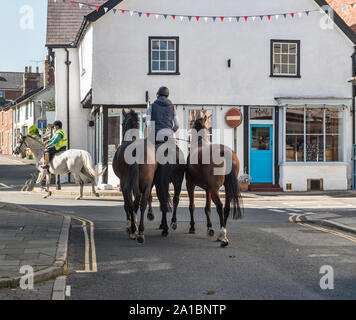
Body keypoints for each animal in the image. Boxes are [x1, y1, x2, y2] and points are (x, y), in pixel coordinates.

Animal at [111, 110, 156, 242]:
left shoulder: (123, 183)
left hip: (126, 182)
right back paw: (140, 231)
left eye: (122, 123)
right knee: (142, 202)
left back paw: (132, 229)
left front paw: (131, 226)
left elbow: (127, 204)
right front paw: (135, 226)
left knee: (130, 204)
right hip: (146, 181)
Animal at [186, 116, 242, 246]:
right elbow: (207, 208)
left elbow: (192, 206)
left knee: (220, 206)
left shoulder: (190, 185)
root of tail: (224, 151)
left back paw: (222, 235)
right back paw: (223, 233)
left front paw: (192, 227)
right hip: (225, 188)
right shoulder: (208, 189)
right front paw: (210, 228)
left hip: (214, 189)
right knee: (226, 207)